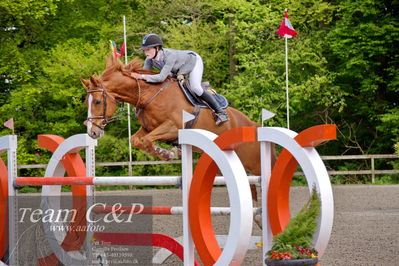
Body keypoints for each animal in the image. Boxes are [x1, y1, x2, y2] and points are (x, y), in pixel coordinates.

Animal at [80, 55, 276, 203]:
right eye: (87, 102)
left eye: (97, 102)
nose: (92, 132)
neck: (150, 94)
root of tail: (255, 126)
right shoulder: (148, 128)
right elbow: (137, 140)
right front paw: (169, 152)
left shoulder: (174, 127)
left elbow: (147, 140)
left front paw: (169, 154)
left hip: (255, 163)